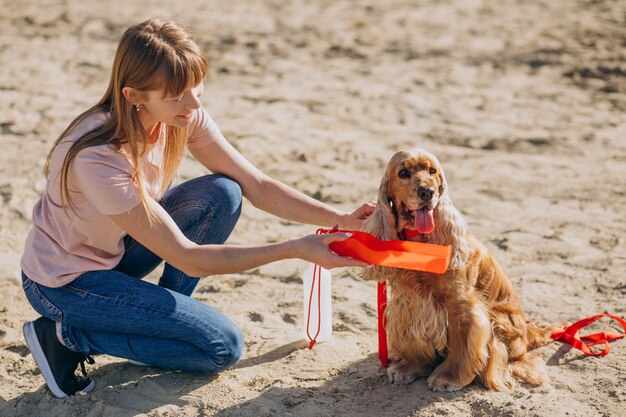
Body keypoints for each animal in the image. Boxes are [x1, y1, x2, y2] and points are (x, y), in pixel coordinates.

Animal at [360, 149, 560, 390]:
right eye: (403, 173)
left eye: (432, 171)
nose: (427, 192)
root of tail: (529, 330)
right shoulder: (408, 303)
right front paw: (408, 367)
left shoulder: (462, 305)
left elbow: (462, 343)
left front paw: (448, 377)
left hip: (501, 321)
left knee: (519, 360)